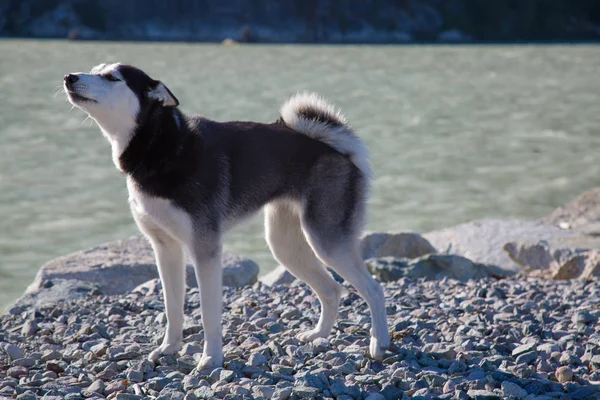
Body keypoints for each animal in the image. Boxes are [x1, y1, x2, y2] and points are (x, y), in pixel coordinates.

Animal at [61, 63, 390, 372]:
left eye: (112, 77)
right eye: (94, 70)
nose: (69, 77)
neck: (163, 148)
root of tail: (337, 147)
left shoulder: (204, 251)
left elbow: (208, 314)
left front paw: (211, 359)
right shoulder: (165, 249)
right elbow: (172, 307)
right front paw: (169, 349)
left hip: (326, 242)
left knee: (373, 289)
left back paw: (379, 343)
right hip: (286, 247)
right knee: (332, 289)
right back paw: (319, 335)